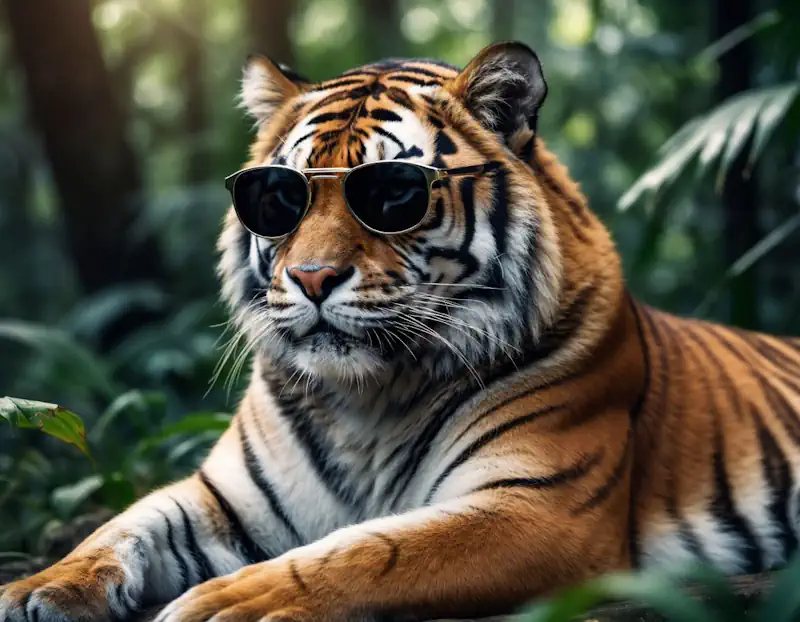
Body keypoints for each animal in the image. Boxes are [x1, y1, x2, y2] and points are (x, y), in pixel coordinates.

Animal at [3, 40, 800, 622]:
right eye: (278, 197)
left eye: (392, 195)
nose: (312, 277)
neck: (368, 398)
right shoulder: (224, 496)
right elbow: (125, 523)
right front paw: (39, 587)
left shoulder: (538, 507)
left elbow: (368, 551)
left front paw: (230, 603)